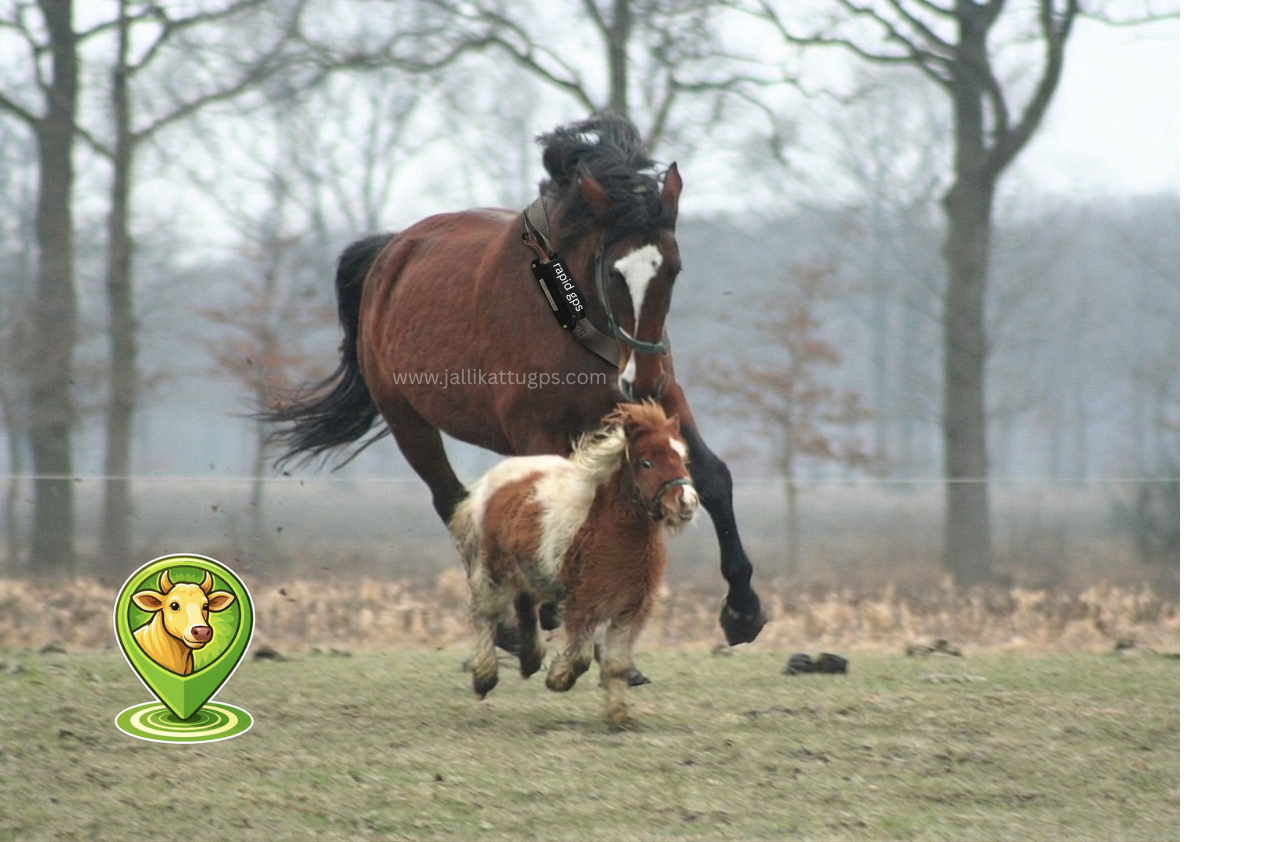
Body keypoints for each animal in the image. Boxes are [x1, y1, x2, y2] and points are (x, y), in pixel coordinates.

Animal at [266, 112, 766, 657]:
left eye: (673, 269)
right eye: (615, 273)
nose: (643, 380)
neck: (574, 313)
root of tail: (391, 254)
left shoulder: (660, 406)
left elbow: (713, 477)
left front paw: (743, 609)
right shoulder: (537, 431)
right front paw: (556, 610)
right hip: (408, 422)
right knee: (453, 504)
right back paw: (507, 621)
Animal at [449, 401, 698, 727]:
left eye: (682, 458)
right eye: (646, 463)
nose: (686, 503)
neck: (608, 530)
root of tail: (493, 481)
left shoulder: (631, 610)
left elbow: (616, 665)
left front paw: (618, 718)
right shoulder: (583, 606)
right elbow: (580, 658)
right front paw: (558, 679)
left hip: (528, 571)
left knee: (524, 606)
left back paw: (530, 660)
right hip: (493, 573)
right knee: (485, 617)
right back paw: (485, 678)